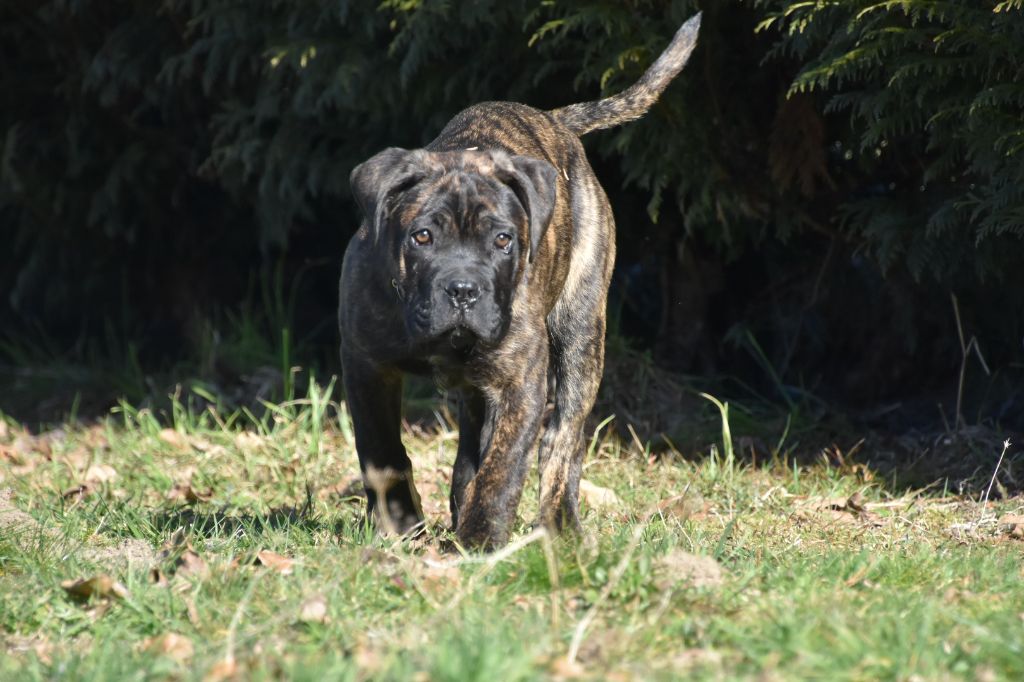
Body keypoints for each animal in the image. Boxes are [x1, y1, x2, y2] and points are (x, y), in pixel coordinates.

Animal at [339, 13, 701, 549]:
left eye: (503, 240)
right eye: (422, 237)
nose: (463, 290)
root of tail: (554, 119)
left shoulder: (521, 381)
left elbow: (505, 466)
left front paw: (481, 538)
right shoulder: (367, 365)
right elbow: (382, 453)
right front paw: (402, 525)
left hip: (580, 337)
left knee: (563, 441)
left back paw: (559, 524)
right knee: (474, 444)